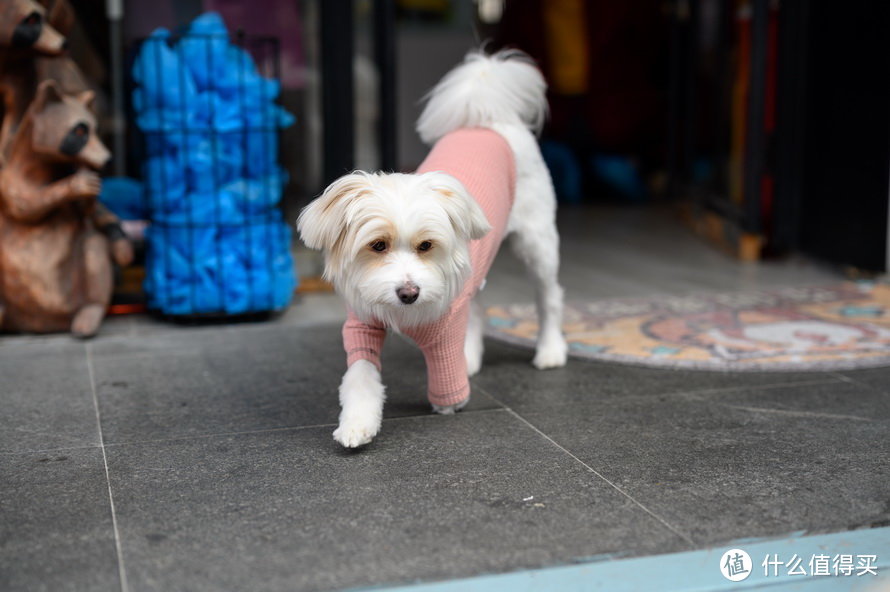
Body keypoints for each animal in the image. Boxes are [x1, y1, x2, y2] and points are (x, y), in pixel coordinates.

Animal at [296, 49, 560, 448]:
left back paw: (550, 350)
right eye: (378, 245)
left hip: (537, 242)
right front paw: (357, 422)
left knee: (549, 297)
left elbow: (446, 376)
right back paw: (473, 357)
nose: (409, 293)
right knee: (478, 307)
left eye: (426, 246)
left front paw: (450, 402)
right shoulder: (361, 325)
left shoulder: (445, 329)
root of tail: (488, 118)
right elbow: (360, 377)